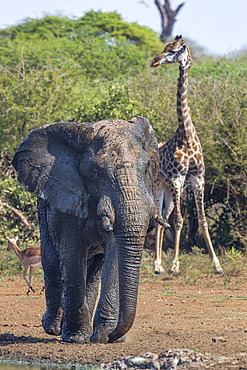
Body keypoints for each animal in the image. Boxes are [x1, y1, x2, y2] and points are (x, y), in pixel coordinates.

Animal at [11, 116, 167, 344]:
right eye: (95, 172)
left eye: (147, 168)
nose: (114, 335)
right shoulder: (65, 196)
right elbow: (72, 253)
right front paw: (76, 338)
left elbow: (114, 253)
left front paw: (105, 337)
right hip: (42, 213)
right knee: (53, 262)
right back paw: (53, 328)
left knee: (92, 272)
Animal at [150, 36, 223, 274]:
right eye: (165, 48)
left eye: (172, 50)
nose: (154, 61)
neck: (187, 136)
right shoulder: (177, 178)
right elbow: (180, 221)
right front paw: (175, 265)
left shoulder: (197, 179)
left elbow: (202, 220)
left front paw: (217, 265)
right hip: (159, 185)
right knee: (160, 217)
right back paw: (158, 265)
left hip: (171, 190)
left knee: (164, 217)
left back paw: (159, 265)